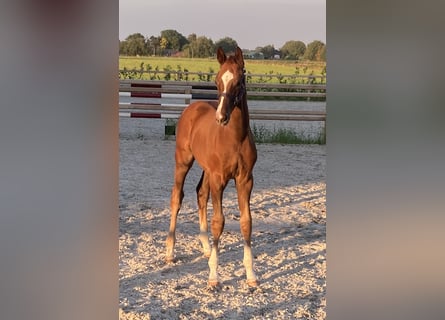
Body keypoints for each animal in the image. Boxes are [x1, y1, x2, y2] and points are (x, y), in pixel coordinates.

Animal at [165, 47, 258, 288]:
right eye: (216, 81)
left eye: (238, 81)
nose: (221, 117)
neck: (235, 138)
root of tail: (192, 107)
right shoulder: (219, 178)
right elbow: (219, 221)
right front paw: (213, 276)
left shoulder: (245, 179)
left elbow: (246, 221)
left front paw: (251, 275)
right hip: (183, 161)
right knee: (177, 197)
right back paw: (170, 251)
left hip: (207, 169)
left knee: (200, 193)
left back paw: (206, 247)